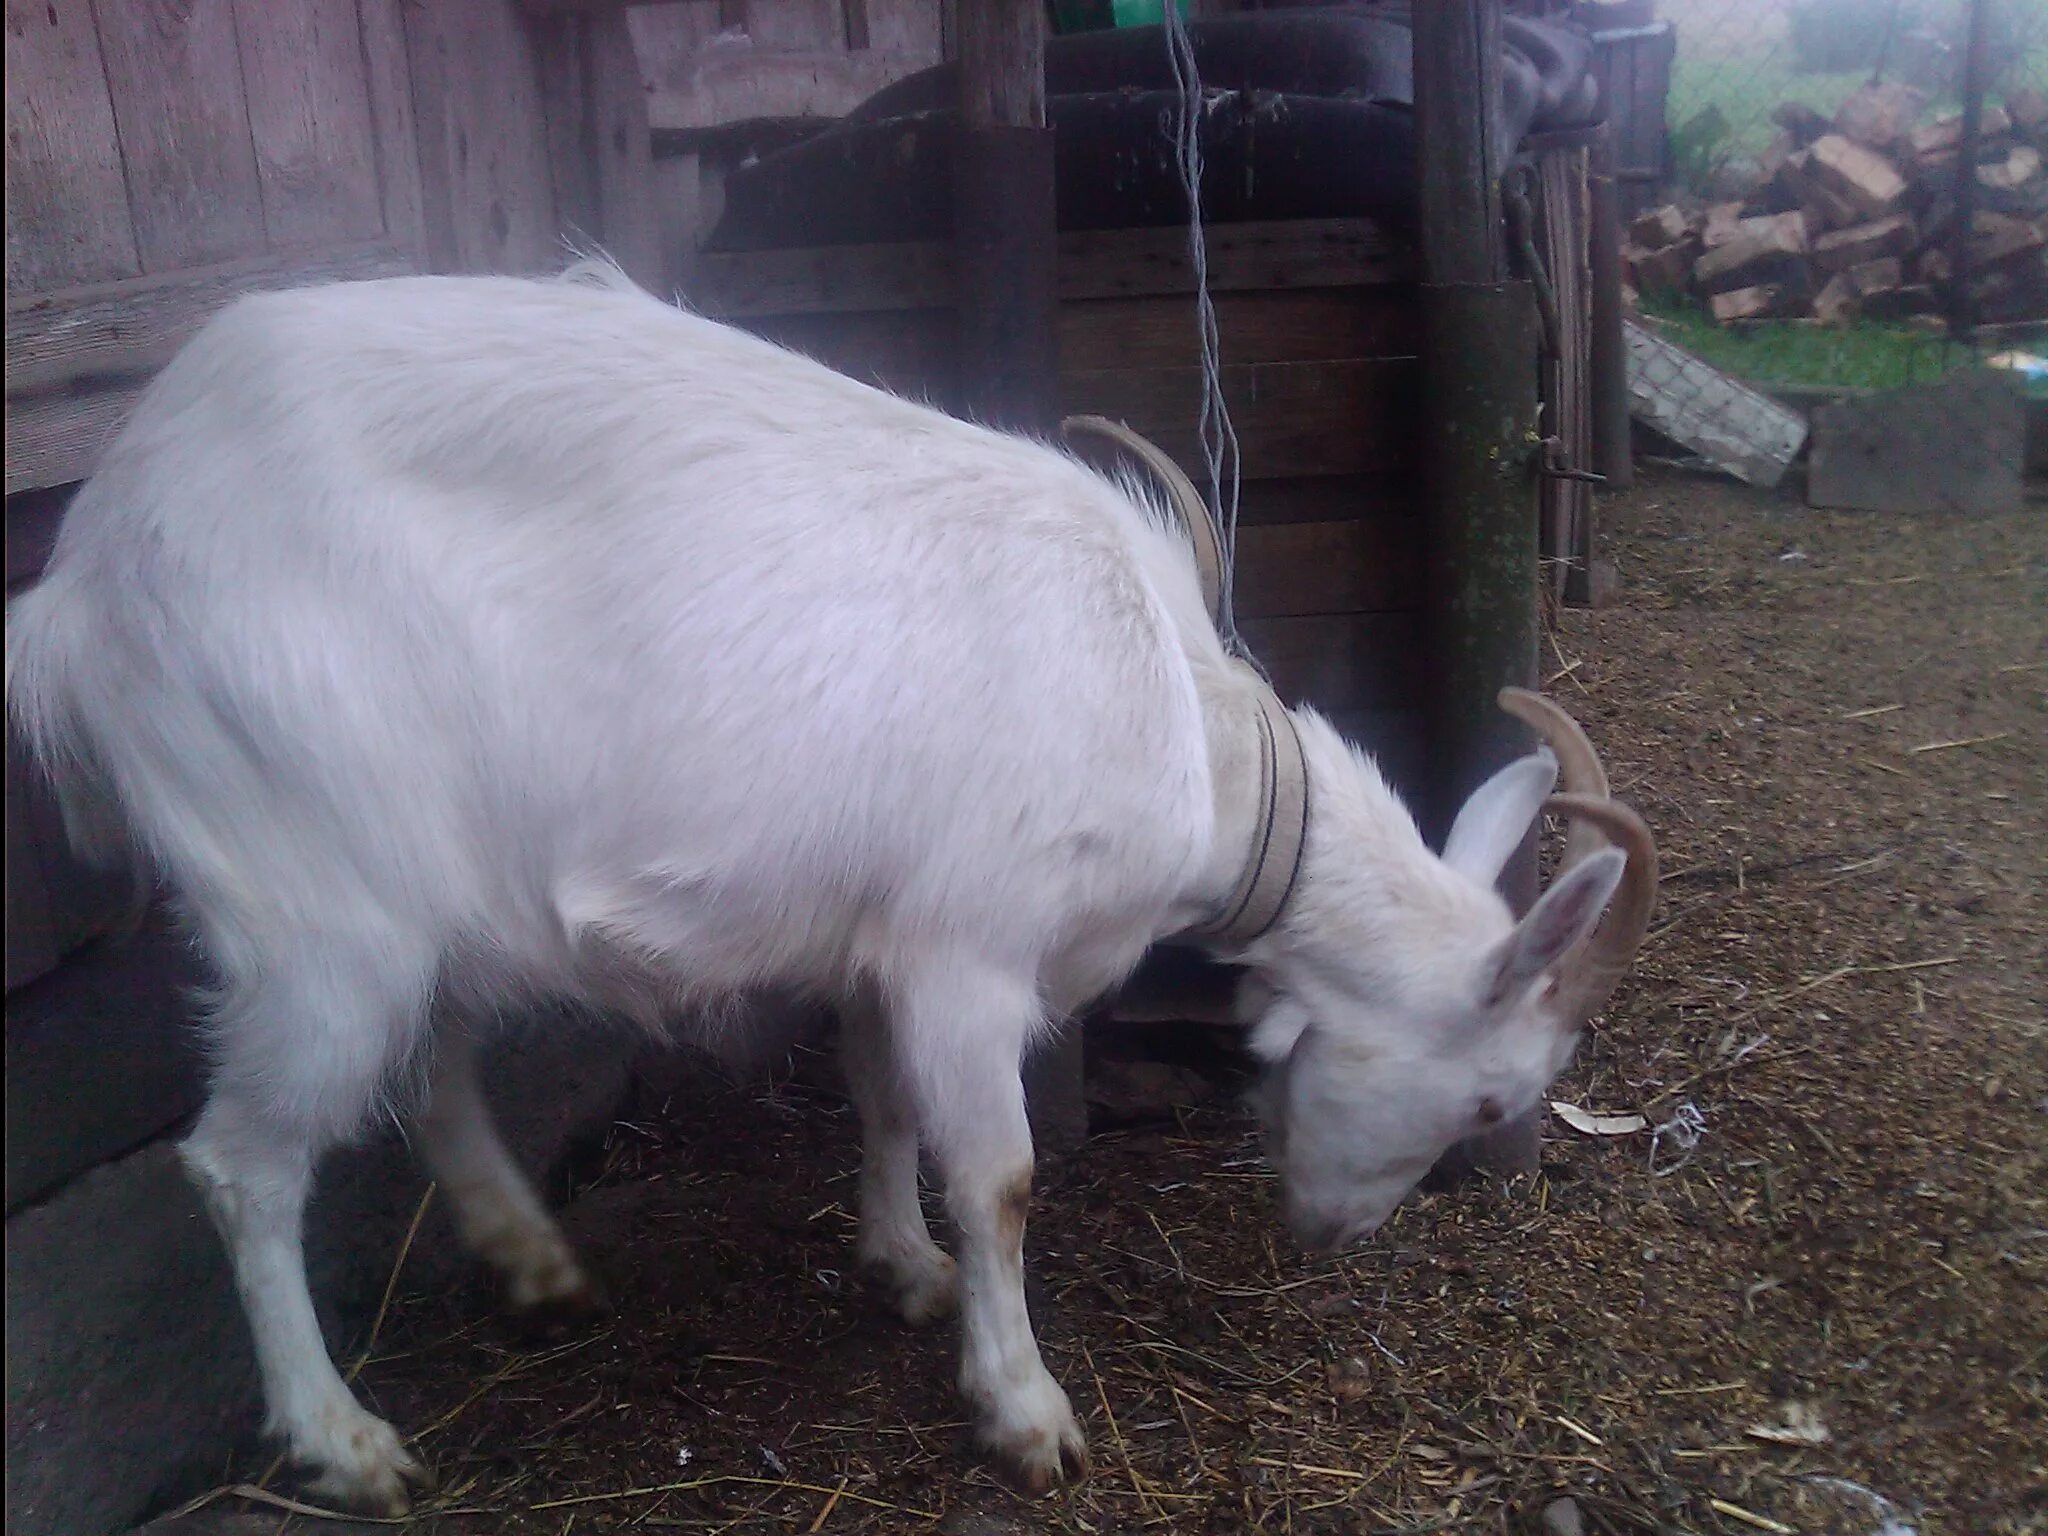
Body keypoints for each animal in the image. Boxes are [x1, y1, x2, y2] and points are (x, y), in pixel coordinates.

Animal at [4, 268, 1662, 1515]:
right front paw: (1023, 1408)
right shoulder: (971, 951)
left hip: (416, 888)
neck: (1182, 727)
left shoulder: (887, 943)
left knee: (433, 1054)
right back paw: (342, 1440)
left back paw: (531, 1260)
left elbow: (881, 1102)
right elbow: (1002, 1177)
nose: (1331, 1239)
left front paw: (903, 1268)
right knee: (244, 1164)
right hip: (303, 874)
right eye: (1492, 1101)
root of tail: (82, 580)